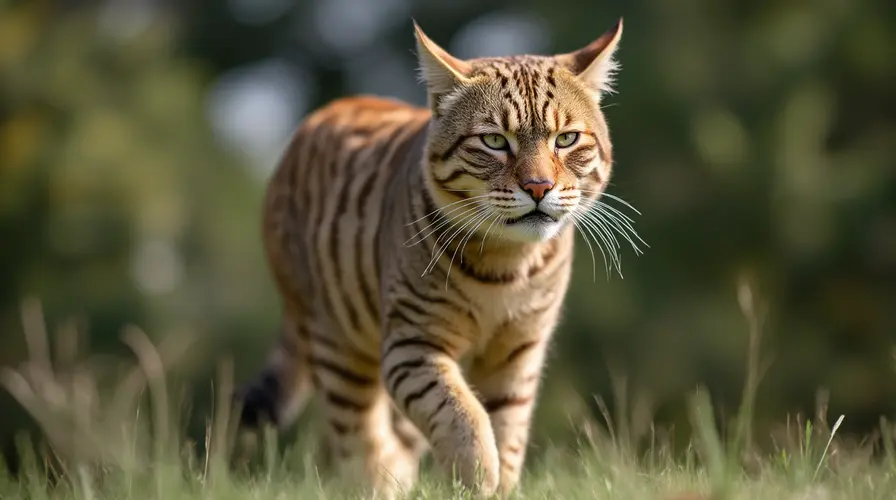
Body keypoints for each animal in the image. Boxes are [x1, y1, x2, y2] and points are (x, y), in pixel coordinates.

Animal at [234, 17, 632, 498]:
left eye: (567, 139)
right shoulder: (412, 344)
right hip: (337, 344)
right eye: (495, 141)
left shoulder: (518, 355)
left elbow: (506, 433)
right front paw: (478, 478)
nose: (539, 187)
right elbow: (464, 417)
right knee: (359, 441)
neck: (507, 264)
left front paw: (499, 485)